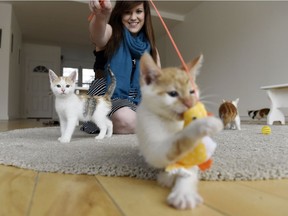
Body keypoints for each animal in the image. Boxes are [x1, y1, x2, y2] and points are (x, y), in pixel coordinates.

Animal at [137, 52, 223, 209]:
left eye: (192, 91)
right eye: (173, 93)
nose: (190, 103)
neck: (170, 121)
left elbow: (189, 166)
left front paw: (184, 191)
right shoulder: (154, 148)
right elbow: (175, 143)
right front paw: (203, 123)